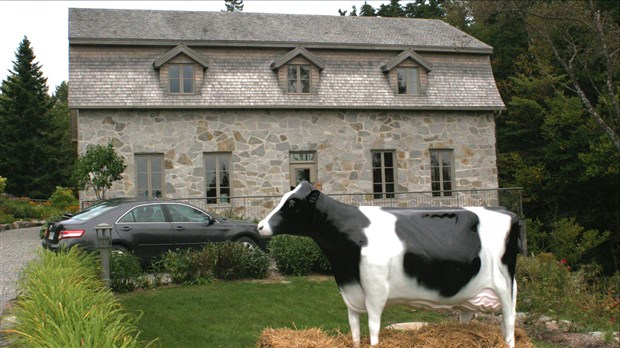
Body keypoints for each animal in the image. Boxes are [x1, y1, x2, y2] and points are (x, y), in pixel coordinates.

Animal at [256, 181, 520, 346]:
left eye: (292, 204)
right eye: (282, 199)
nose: (259, 226)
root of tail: (509, 212)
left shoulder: (375, 291)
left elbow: (373, 327)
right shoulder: (350, 292)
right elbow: (354, 328)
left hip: (505, 285)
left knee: (509, 321)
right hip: (472, 292)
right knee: (469, 316)